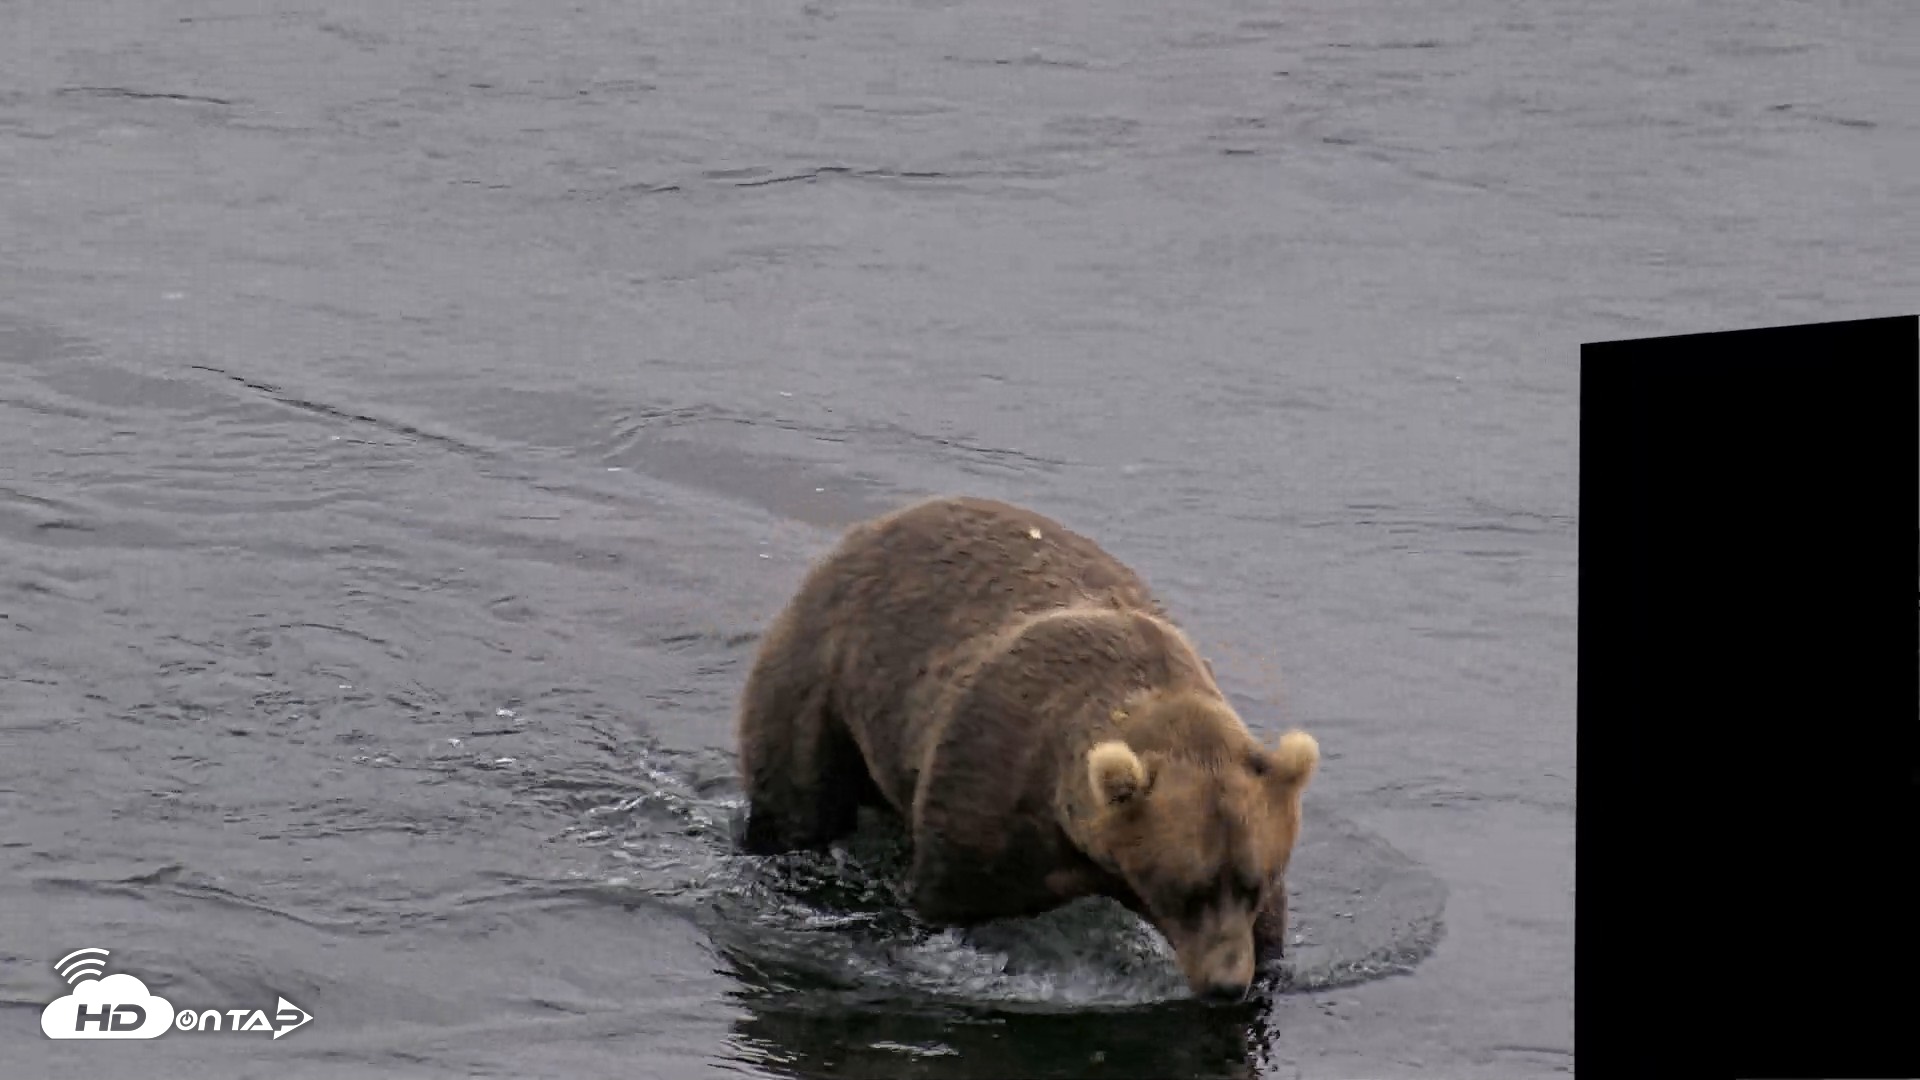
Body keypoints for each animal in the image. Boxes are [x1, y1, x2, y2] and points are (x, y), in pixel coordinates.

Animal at [734, 495, 1319, 1000]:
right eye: (1183, 888)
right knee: (798, 800)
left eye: (1252, 884)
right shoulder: (988, 790)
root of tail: (867, 532)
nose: (1226, 984)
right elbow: (946, 896)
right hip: (819, 682)